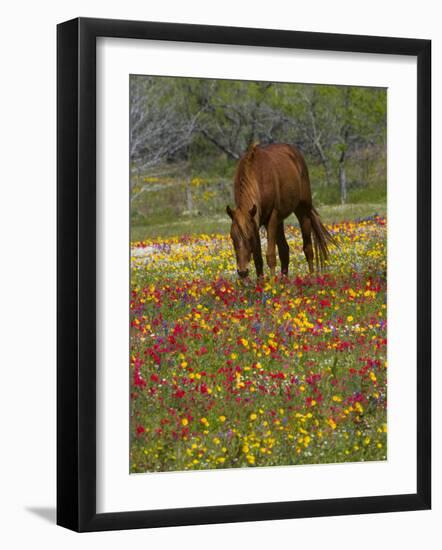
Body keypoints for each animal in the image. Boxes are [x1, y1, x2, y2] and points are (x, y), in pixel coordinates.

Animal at [226, 143, 336, 280]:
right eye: (232, 237)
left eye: (249, 237)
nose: (242, 271)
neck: (257, 175)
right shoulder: (255, 221)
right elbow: (258, 259)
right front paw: (262, 283)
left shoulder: (271, 218)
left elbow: (270, 256)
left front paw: (272, 283)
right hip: (280, 221)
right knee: (284, 250)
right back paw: (285, 280)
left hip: (302, 212)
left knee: (308, 249)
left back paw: (311, 277)